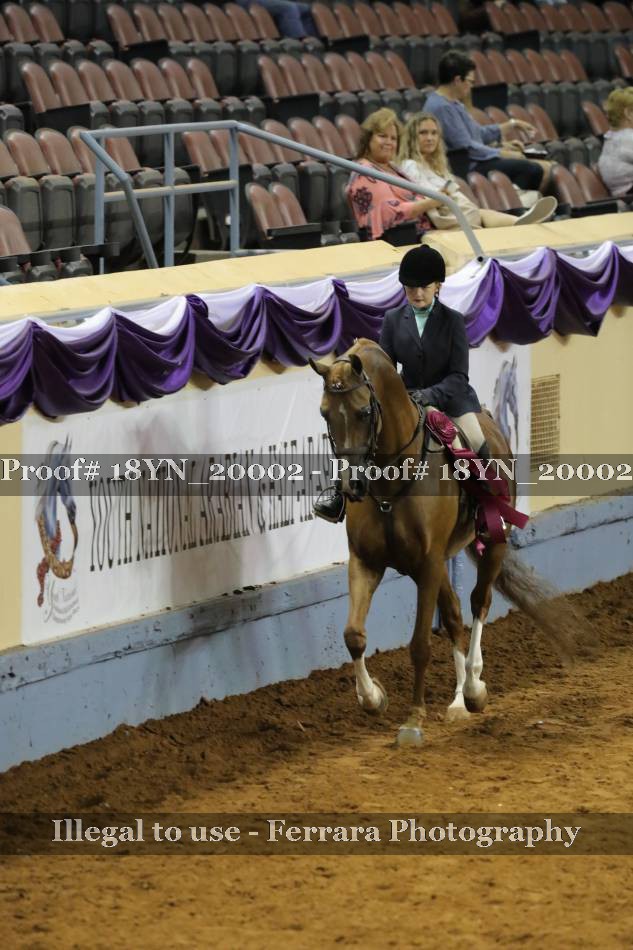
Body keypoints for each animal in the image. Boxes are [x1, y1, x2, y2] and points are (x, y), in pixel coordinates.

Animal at [310, 338, 577, 747]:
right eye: (325, 413)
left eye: (363, 411)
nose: (352, 486)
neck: (390, 481)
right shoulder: (367, 561)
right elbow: (353, 635)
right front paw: (372, 699)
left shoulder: (428, 565)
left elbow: (420, 644)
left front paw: (413, 721)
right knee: (453, 616)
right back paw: (457, 699)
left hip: (490, 543)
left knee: (479, 603)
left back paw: (474, 689)